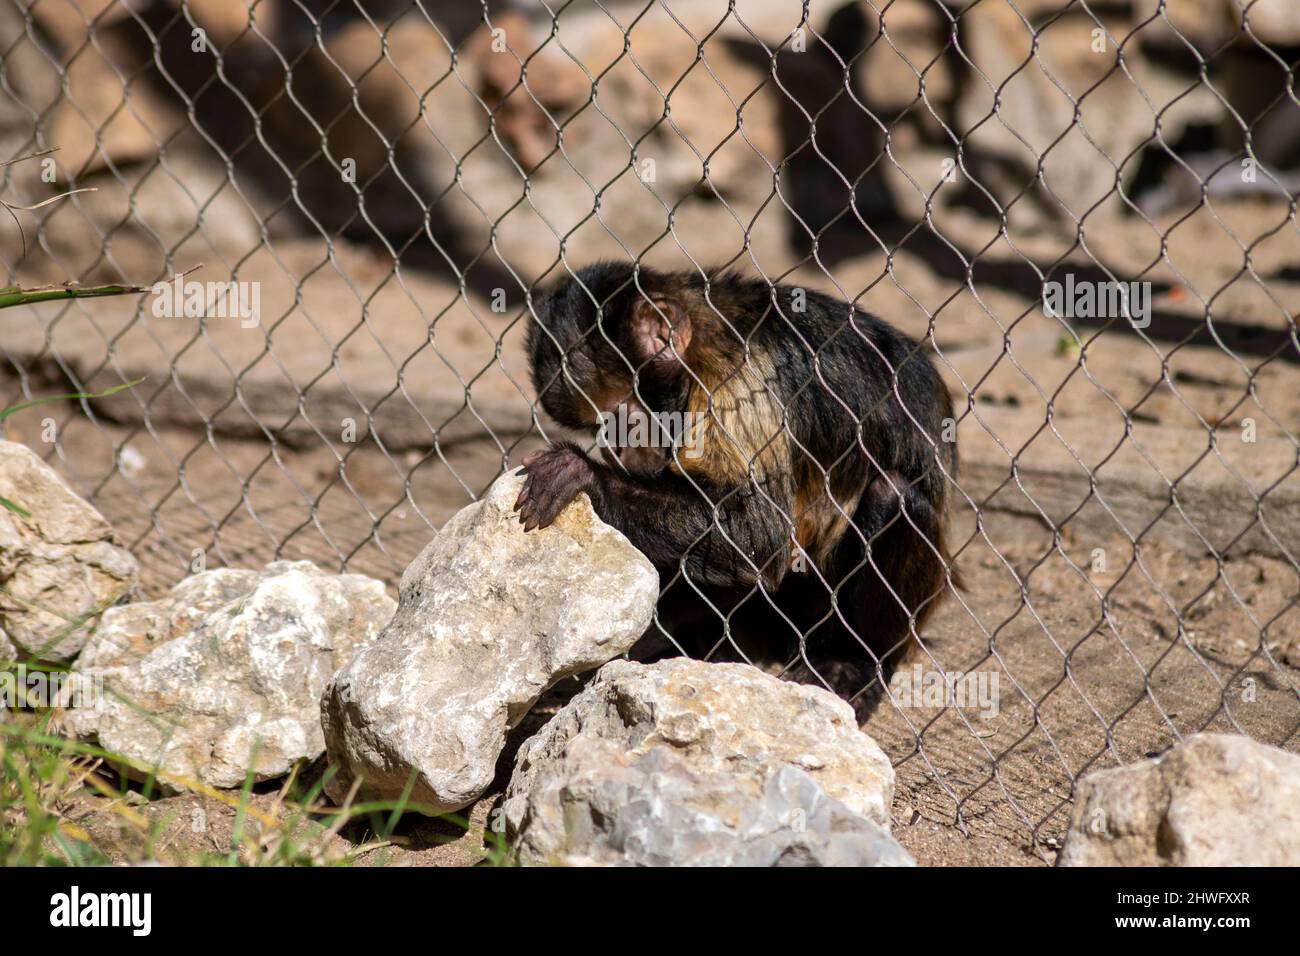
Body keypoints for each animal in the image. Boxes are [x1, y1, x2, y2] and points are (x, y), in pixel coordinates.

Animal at [518, 260, 958, 714]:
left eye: (617, 418)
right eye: (598, 427)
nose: (615, 445)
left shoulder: (739, 379)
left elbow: (755, 533)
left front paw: (584, 473)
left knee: (894, 493)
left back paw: (851, 660)